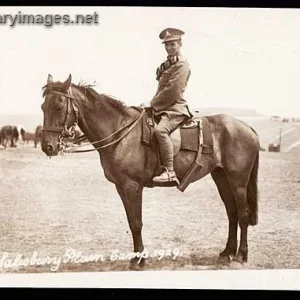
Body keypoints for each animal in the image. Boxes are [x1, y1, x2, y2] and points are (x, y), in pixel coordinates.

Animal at [40, 74, 260, 270]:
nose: (47, 146)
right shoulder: (122, 187)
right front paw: (137, 257)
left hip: (238, 181)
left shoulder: (132, 187)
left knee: (242, 214)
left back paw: (240, 255)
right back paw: (227, 252)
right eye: (43, 107)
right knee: (232, 212)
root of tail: (247, 127)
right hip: (221, 177)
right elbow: (131, 221)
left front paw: (138, 261)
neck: (121, 132)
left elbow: (136, 223)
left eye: (59, 106)